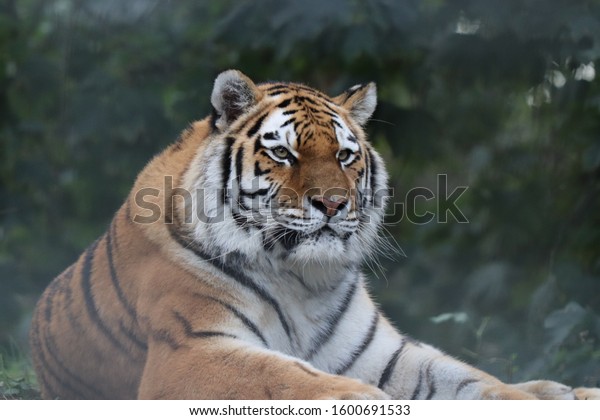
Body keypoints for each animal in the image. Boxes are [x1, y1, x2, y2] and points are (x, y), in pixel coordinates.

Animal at [29, 69, 600, 400]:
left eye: (345, 155)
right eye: (284, 153)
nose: (332, 203)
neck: (299, 278)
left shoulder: (381, 353)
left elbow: (473, 379)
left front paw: (529, 400)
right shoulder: (191, 350)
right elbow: (290, 378)